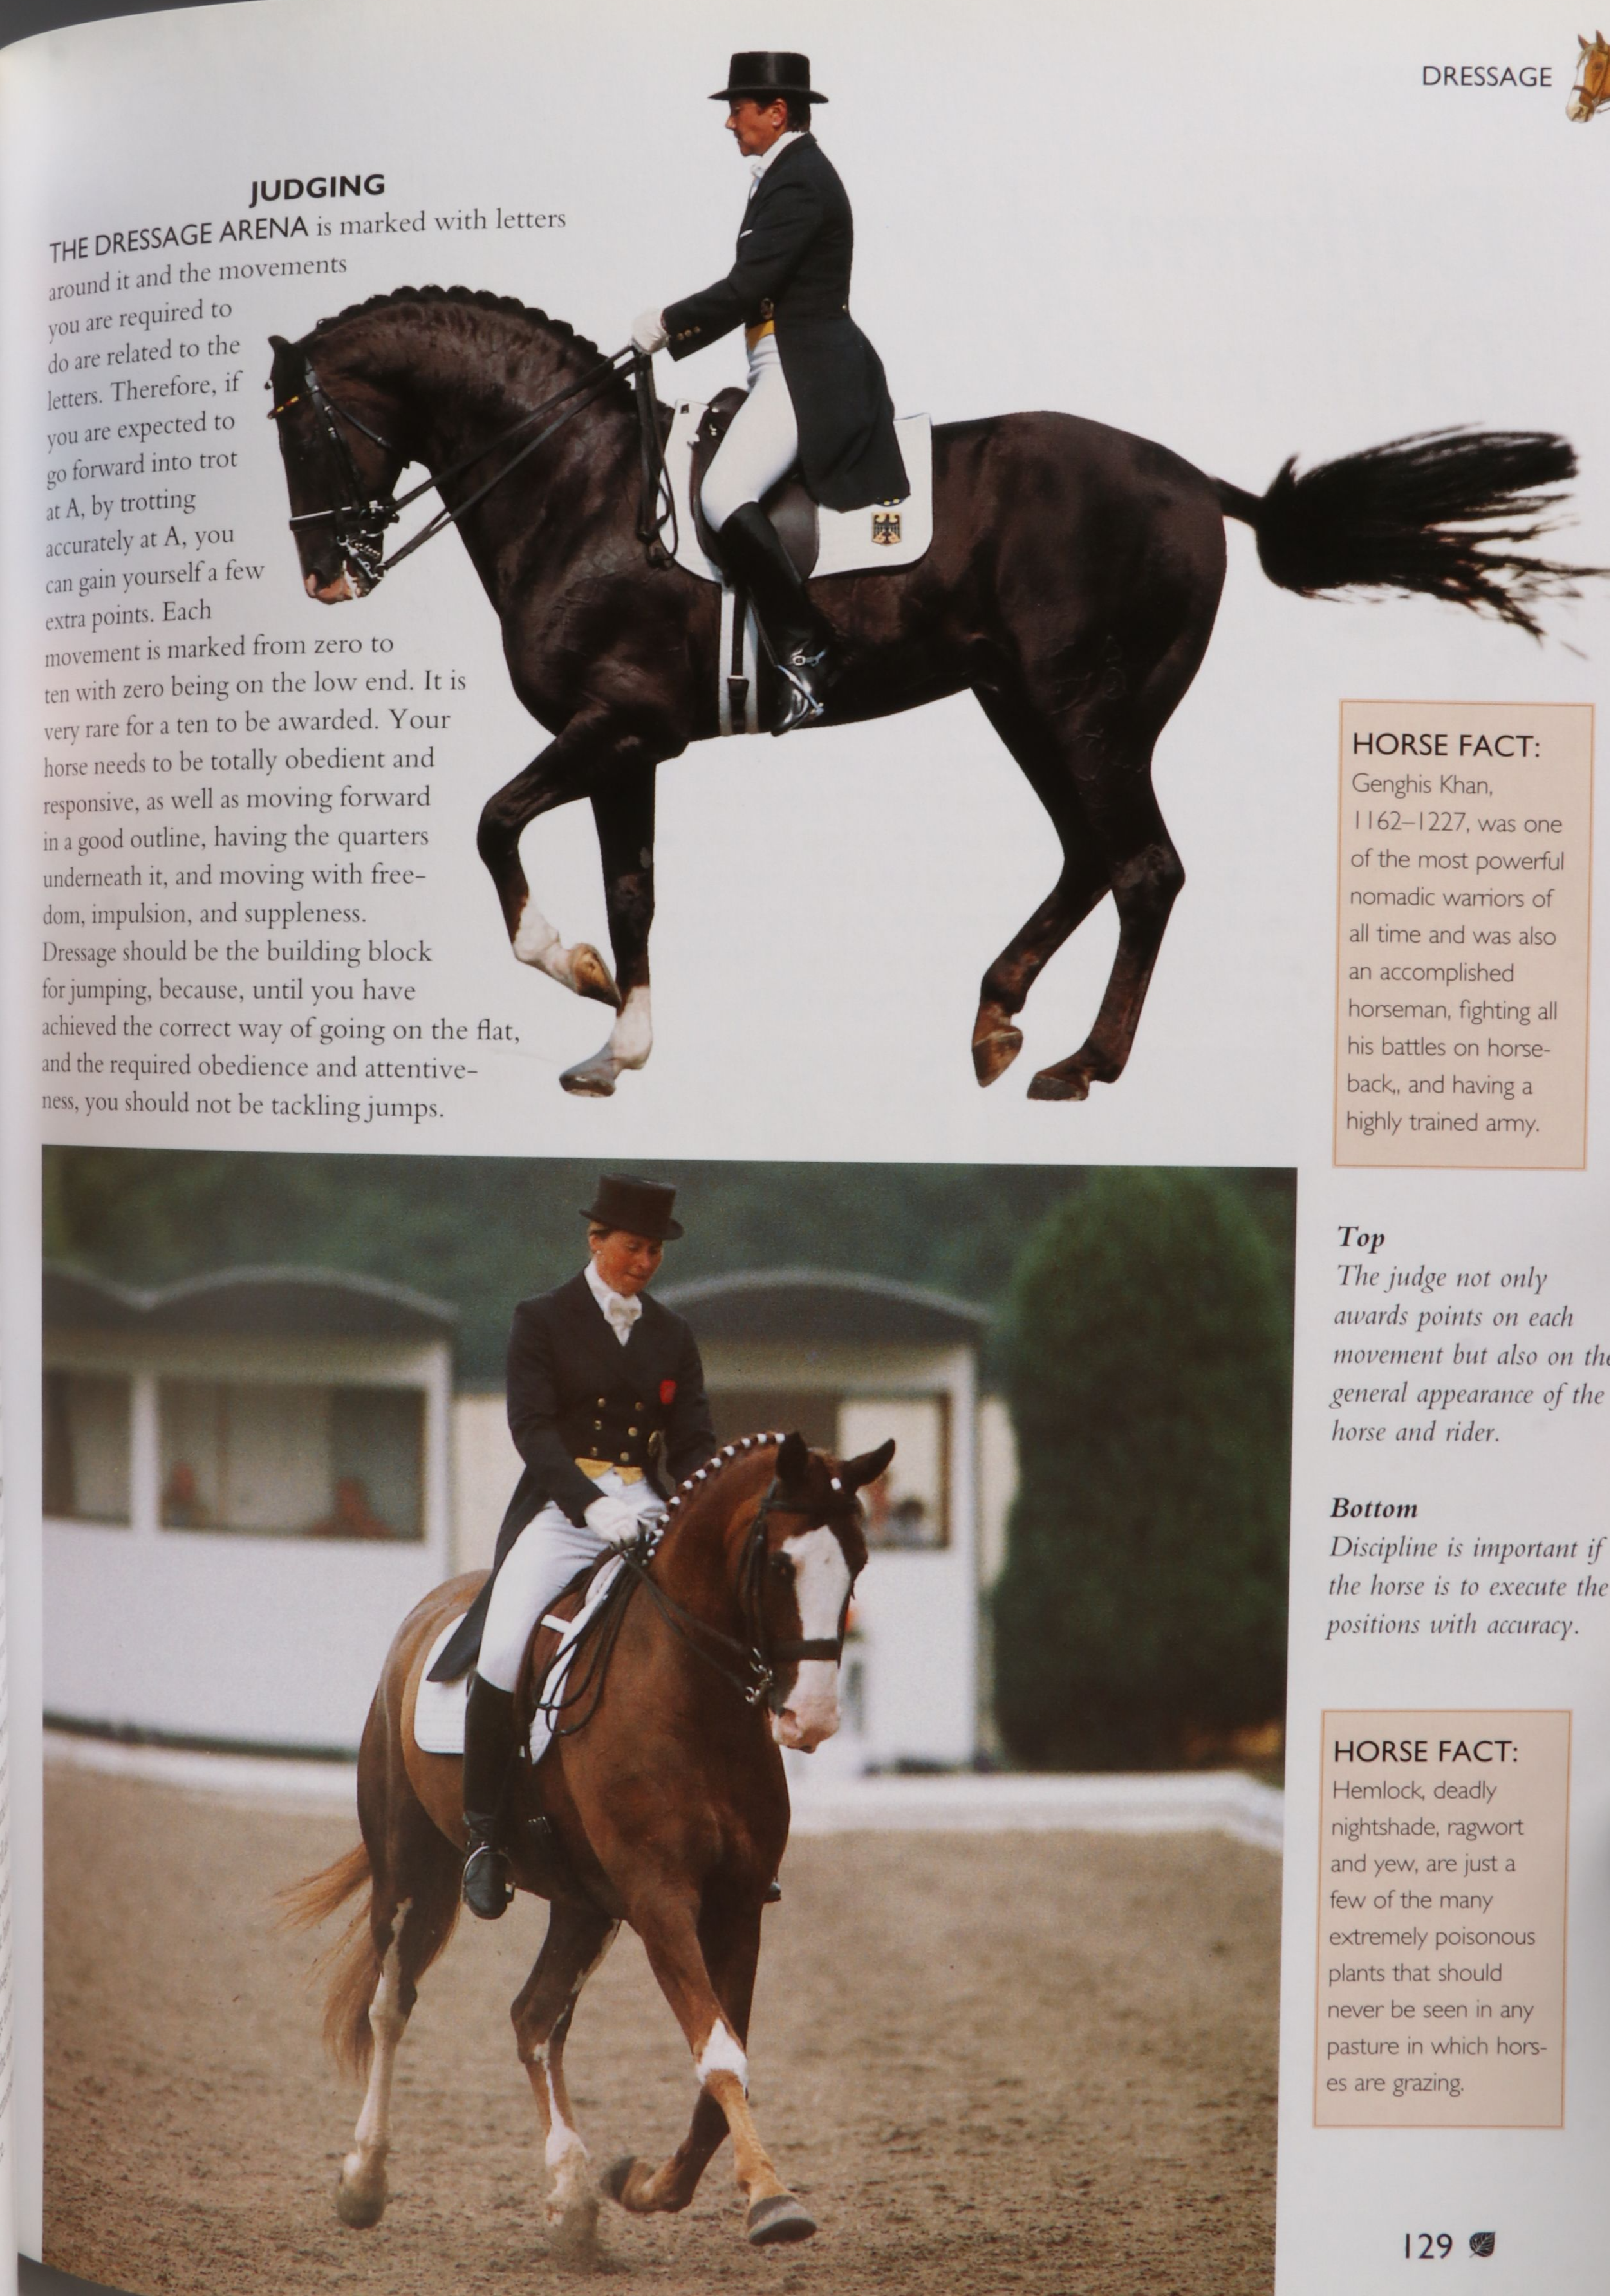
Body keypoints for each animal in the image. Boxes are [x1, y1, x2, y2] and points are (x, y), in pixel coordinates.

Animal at [268, 287, 1589, 1100]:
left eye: (304, 433)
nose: (327, 577)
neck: (576, 493)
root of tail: (1190, 483)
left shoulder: (617, 728)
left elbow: (493, 823)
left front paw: (571, 966)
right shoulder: (629, 746)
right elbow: (632, 892)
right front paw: (618, 1043)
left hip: (1084, 708)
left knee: (1143, 868)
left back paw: (1080, 1065)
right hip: (1023, 703)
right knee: (1091, 855)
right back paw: (998, 1015)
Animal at [280, 1430, 891, 2263]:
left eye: (856, 1561)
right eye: (779, 1564)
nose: (814, 1718)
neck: (694, 1695)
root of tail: (431, 1611)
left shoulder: (736, 1903)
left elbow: (719, 2064)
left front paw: (641, 2184)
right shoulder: (661, 1896)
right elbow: (719, 2053)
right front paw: (772, 2199)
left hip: (584, 1904)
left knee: (534, 2019)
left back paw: (572, 2199)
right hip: (413, 1871)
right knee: (391, 2004)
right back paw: (364, 2180)